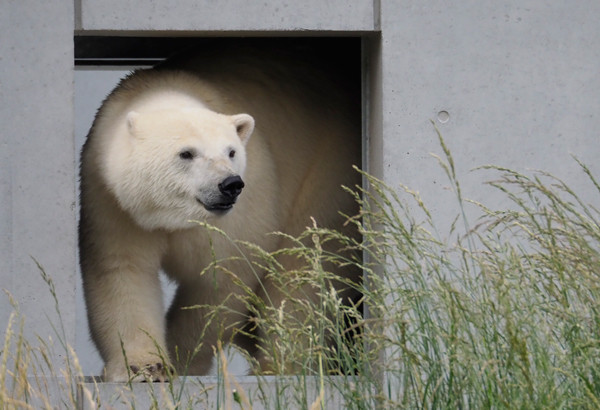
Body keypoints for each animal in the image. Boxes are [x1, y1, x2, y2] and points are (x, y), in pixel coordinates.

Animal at [79, 44, 360, 382]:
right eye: (186, 153)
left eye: (231, 151)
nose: (230, 184)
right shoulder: (112, 201)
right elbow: (122, 270)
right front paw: (145, 367)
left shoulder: (245, 207)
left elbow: (220, 283)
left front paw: (182, 360)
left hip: (328, 178)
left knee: (302, 276)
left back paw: (280, 365)